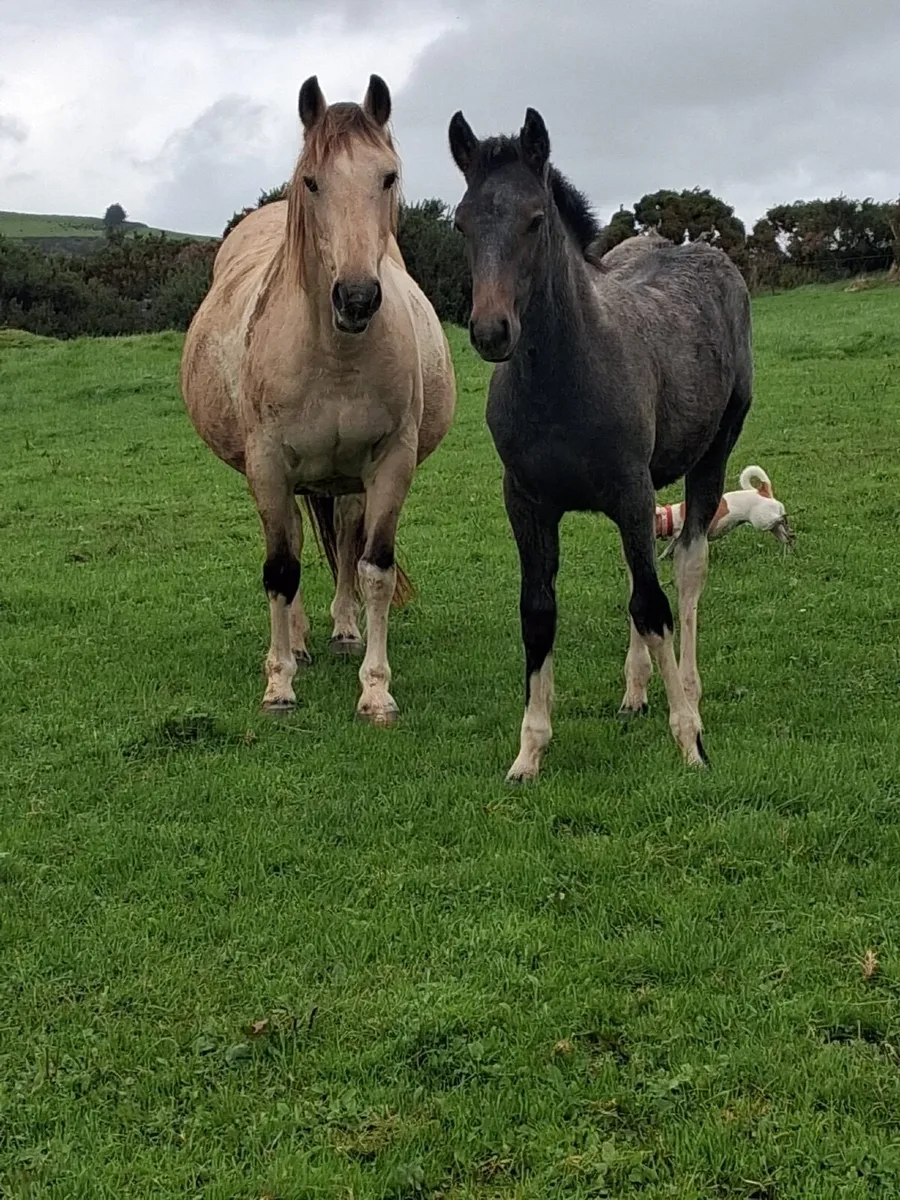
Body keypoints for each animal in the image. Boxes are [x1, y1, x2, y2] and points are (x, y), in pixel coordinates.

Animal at [181, 75, 456, 723]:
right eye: (312, 180)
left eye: (387, 176)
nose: (356, 298)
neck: (335, 353)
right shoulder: (268, 466)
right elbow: (281, 570)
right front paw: (279, 683)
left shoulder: (391, 462)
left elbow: (374, 568)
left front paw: (375, 689)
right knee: (294, 548)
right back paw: (300, 642)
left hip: (347, 479)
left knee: (348, 540)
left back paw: (344, 630)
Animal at [448, 107, 753, 781]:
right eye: (461, 222)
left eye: (536, 220)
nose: (490, 331)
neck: (562, 380)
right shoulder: (528, 502)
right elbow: (539, 612)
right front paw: (529, 750)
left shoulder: (630, 490)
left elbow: (655, 604)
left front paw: (689, 741)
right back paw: (636, 691)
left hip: (711, 453)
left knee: (685, 568)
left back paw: (688, 692)